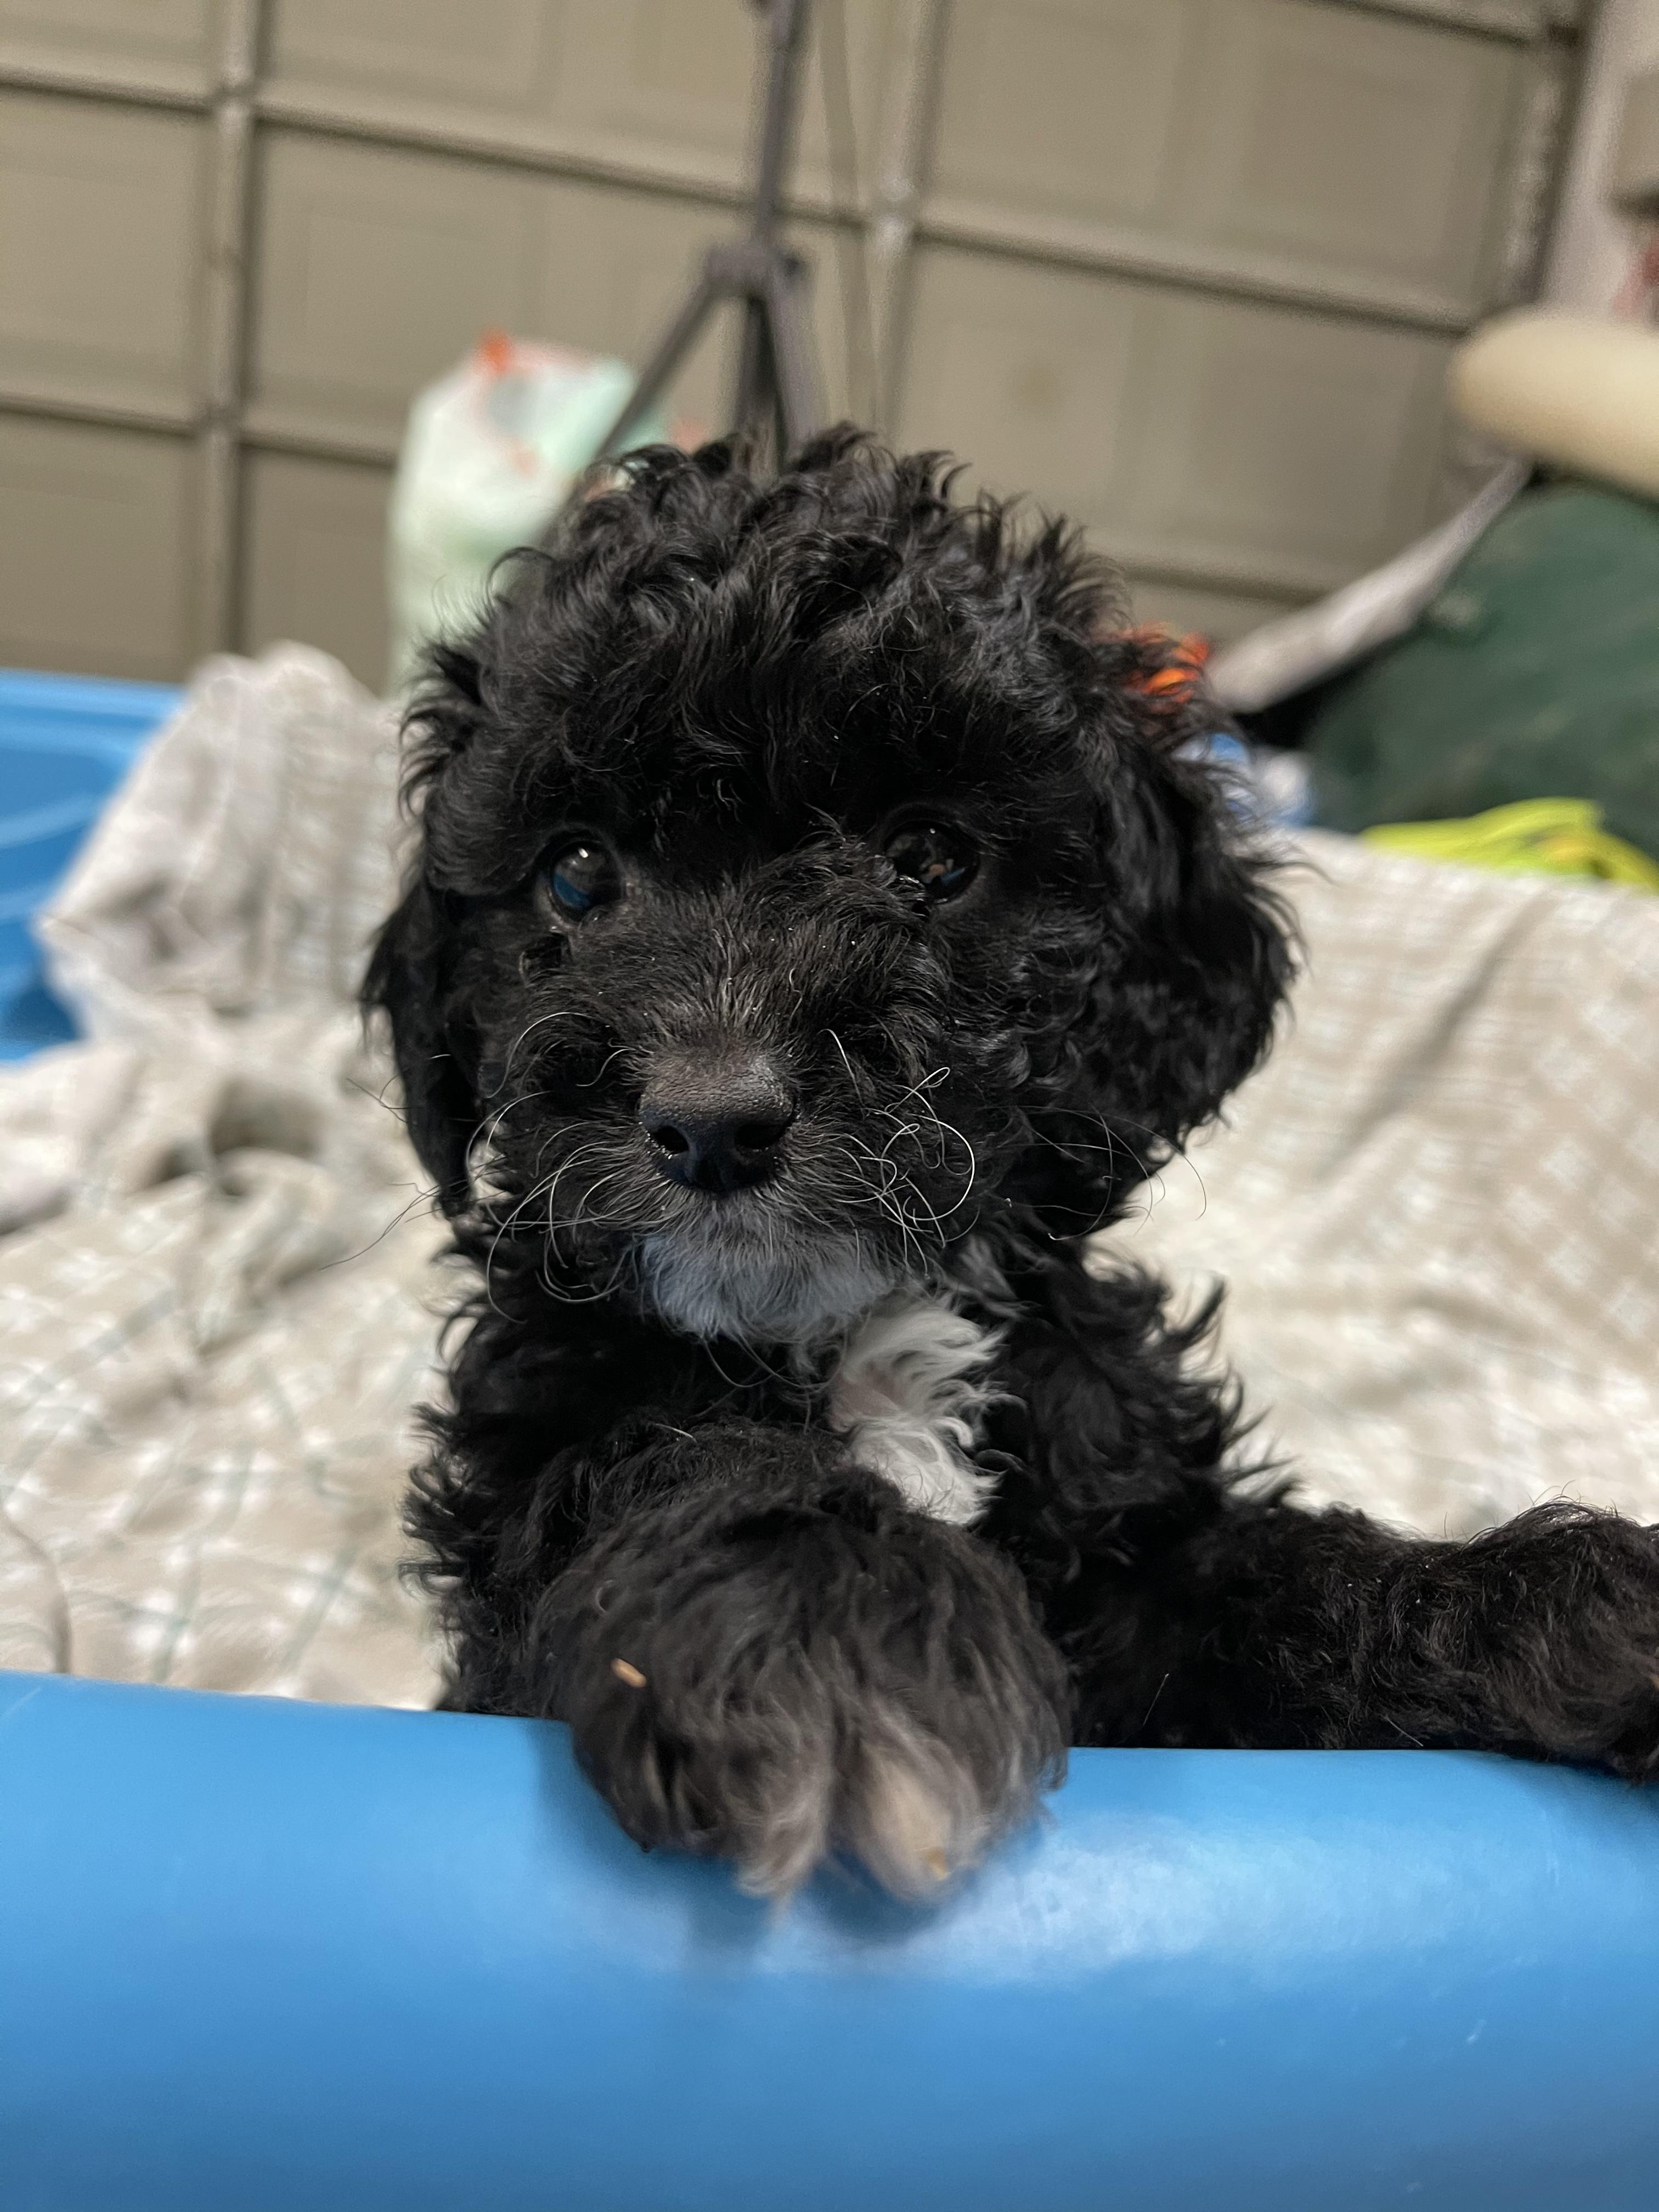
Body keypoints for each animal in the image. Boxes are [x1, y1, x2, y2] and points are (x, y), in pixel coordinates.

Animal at [368, 430, 1659, 1899]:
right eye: (577, 875)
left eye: (931, 857)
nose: (711, 1118)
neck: (859, 1328)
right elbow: (666, 1452)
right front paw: (827, 1609)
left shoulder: (1134, 1550)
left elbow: (1274, 1575)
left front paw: (1541, 1601)